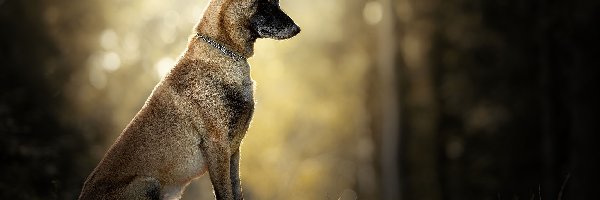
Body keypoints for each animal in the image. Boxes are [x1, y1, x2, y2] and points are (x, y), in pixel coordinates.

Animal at [78, 0, 300, 199]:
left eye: (277, 2)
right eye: (266, 4)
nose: (297, 29)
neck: (223, 53)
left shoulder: (234, 151)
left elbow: (236, 190)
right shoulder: (217, 146)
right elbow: (225, 193)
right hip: (148, 184)